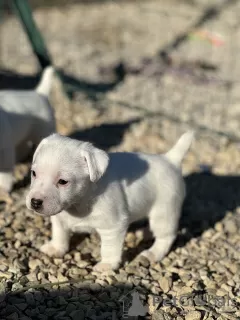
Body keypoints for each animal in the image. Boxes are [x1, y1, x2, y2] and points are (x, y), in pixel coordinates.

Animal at [26, 131, 195, 272]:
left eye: (63, 181)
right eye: (33, 173)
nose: (35, 202)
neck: (80, 202)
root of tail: (170, 160)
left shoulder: (113, 227)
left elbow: (109, 248)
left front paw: (107, 265)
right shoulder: (59, 219)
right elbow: (60, 233)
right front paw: (56, 248)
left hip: (163, 212)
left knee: (166, 236)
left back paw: (153, 253)